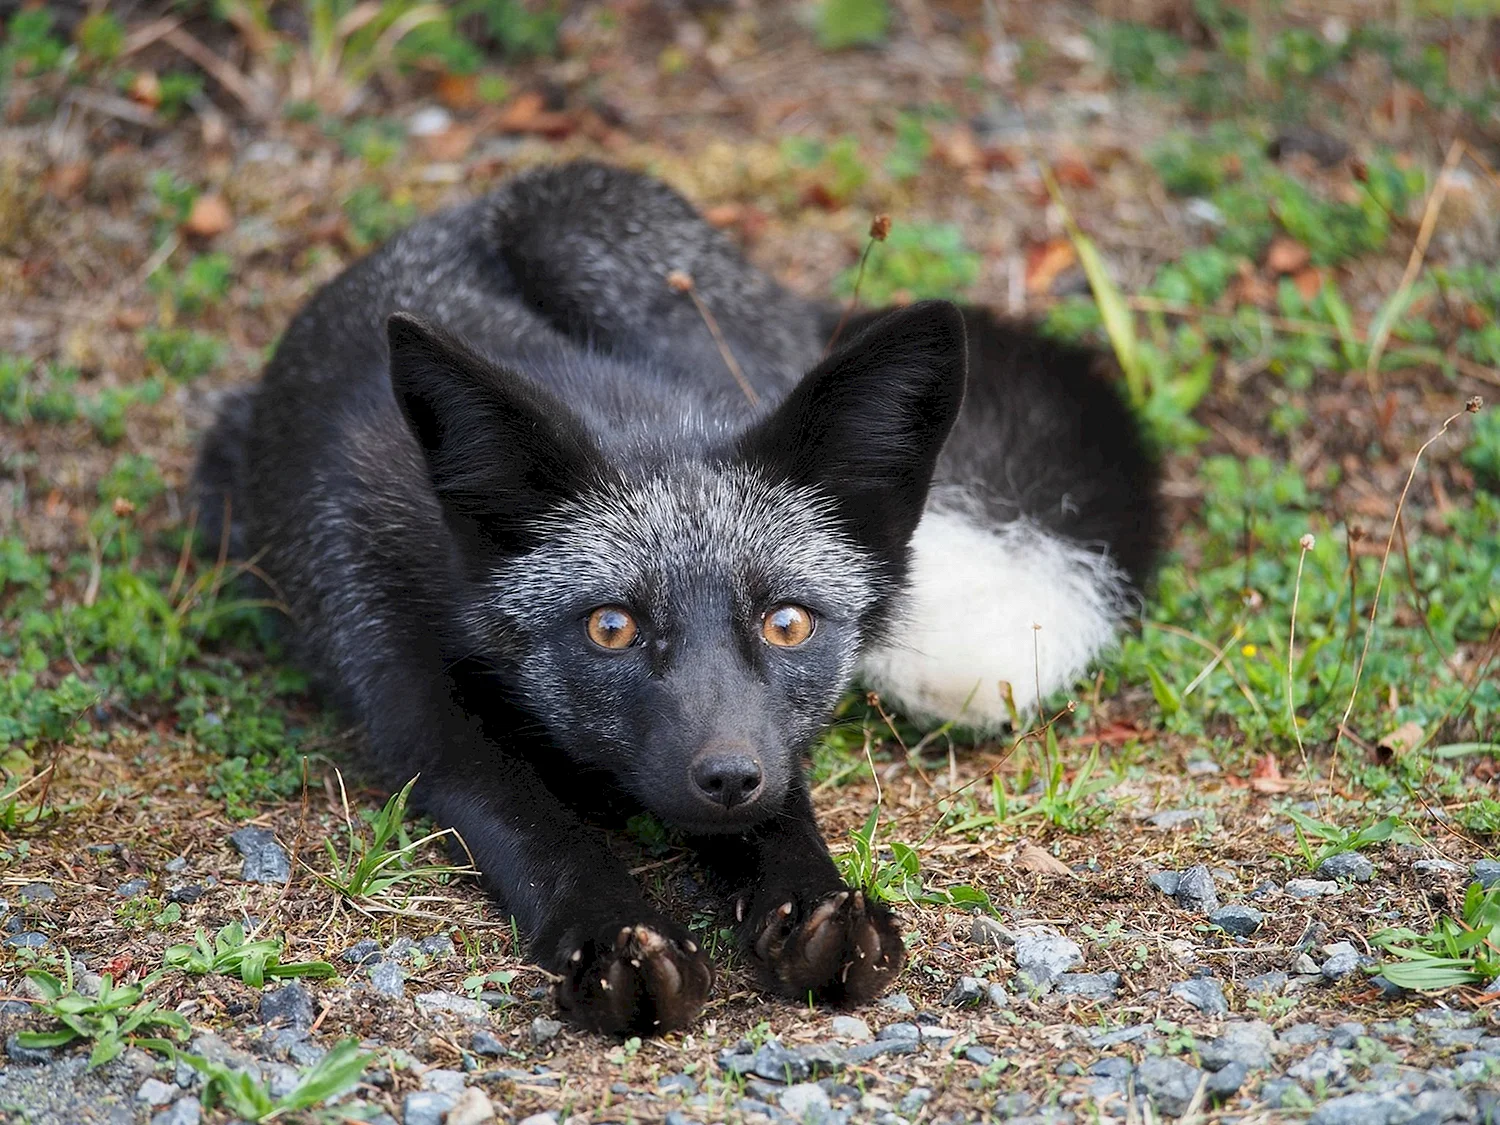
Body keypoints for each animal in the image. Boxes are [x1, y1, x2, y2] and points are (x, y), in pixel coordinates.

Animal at [199, 160, 1158, 1038]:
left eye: (787, 623)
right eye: (611, 627)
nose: (727, 776)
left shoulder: (769, 752)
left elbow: (787, 809)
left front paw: (814, 904)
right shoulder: (415, 706)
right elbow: (535, 828)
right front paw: (612, 937)